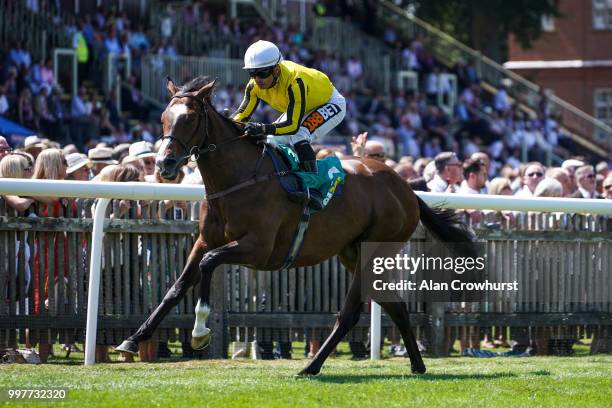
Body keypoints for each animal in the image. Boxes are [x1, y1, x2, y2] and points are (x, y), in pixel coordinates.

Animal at [116, 77, 478, 376]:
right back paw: (417, 364)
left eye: (190, 118)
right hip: (352, 252)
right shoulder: (205, 240)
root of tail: (405, 189)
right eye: (164, 117)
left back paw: (311, 366)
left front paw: (200, 332)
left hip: (372, 249)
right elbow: (176, 287)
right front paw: (132, 340)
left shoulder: (258, 249)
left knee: (351, 312)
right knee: (396, 305)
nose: (165, 164)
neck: (237, 179)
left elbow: (207, 265)